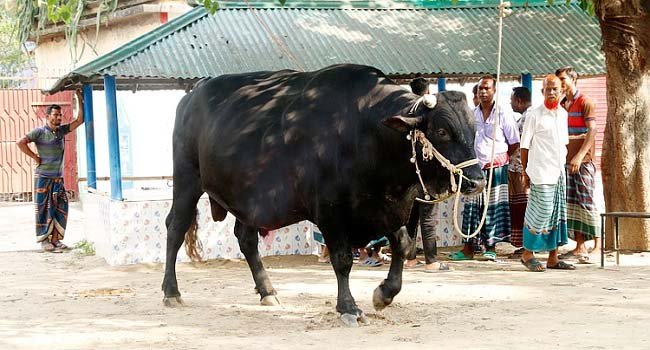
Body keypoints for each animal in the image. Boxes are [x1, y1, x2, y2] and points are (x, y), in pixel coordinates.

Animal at [162, 65, 484, 326]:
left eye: (473, 129)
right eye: (442, 131)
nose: (477, 181)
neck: (366, 131)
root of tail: (191, 96)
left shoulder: (386, 209)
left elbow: (404, 246)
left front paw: (383, 294)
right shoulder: (331, 210)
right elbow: (342, 259)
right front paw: (349, 308)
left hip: (247, 200)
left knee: (246, 238)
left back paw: (268, 291)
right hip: (187, 180)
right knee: (175, 227)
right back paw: (171, 292)